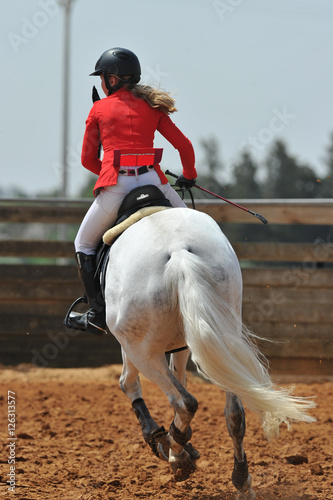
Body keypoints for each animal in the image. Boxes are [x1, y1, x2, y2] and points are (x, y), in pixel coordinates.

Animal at [103, 207, 314, 500]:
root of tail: (178, 251)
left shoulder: (133, 344)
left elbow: (131, 382)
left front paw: (162, 439)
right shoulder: (183, 342)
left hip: (142, 348)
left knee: (182, 400)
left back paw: (176, 454)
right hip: (223, 339)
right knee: (234, 413)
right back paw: (240, 479)